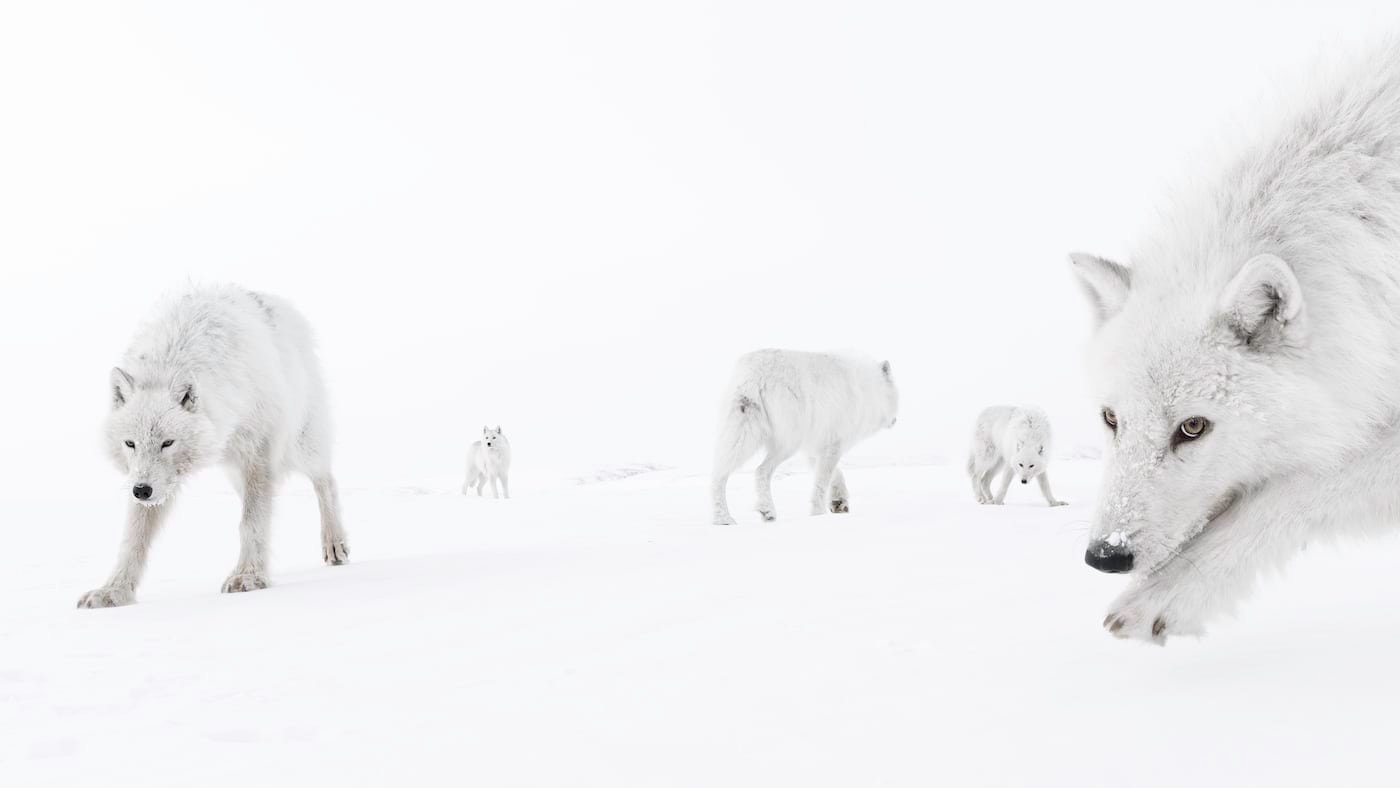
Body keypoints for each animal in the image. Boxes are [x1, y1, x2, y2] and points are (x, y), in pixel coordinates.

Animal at [77, 285, 349, 608]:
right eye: (130, 443)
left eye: (167, 443)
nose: (141, 491)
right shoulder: (151, 482)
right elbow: (133, 539)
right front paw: (113, 592)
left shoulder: (258, 455)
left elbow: (251, 522)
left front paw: (248, 576)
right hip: (235, 473)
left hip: (299, 447)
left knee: (326, 481)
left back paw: (335, 543)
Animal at [710, 349, 898, 525]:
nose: (895, 421)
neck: (868, 388)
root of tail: (757, 373)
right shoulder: (833, 446)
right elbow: (822, 482)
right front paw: (819, 514)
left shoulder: (816, 448)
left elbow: (836, 474)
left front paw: (838, 501)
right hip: (787, 444)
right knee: (760, 471)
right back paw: (756, 512)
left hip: (743, 436)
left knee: (722, 474)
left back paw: (729, 518)